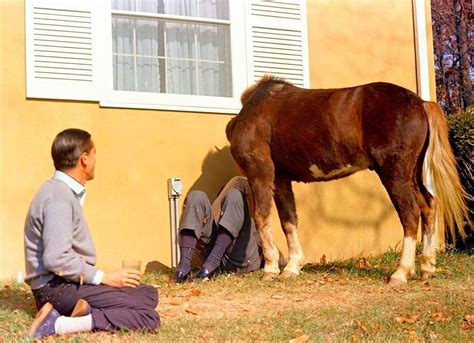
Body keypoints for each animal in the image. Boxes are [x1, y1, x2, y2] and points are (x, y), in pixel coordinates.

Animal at [227, 75, 470, 284]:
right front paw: (292, 267)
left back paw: (401, 273)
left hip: (396, 175)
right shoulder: (281, 181)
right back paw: (427, 268)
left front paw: (270, 269)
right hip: (412, 175)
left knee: (410, 214)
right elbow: (289, 221)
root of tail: (421, 103)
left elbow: (262, 218)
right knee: (429, 206)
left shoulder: (261, 175)